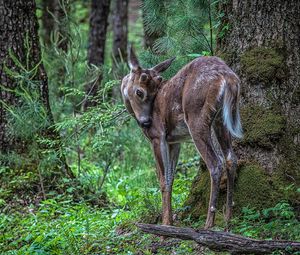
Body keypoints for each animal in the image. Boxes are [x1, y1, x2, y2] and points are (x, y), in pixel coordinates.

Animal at [120, 46, 243, 229]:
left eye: (139, 92)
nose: (146, 122)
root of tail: (228, 76)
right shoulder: (174, 141)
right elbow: (171, 178)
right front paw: (170, 221)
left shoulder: (158, 137)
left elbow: (163, 180)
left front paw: (165, 224)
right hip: (221, 119)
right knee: (230, 158)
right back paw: (227, 219)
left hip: (196, 117)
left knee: (215, 163)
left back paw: (209, 223)